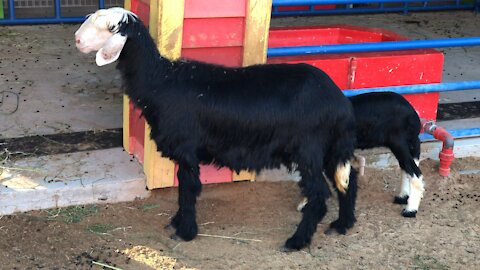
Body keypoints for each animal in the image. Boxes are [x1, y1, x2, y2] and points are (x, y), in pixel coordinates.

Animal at [76, 6, 360, 251]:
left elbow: (188, 188)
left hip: (308, 148)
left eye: (107, 27)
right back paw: (342, 224)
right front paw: (178, 222)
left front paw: (185, 231)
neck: (159, 82)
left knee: (320, 194)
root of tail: (339, 101)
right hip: (331, 146)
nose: (77, 40)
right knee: (349, 178)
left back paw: (297, 240)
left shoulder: (186, 148)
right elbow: (183, 187)